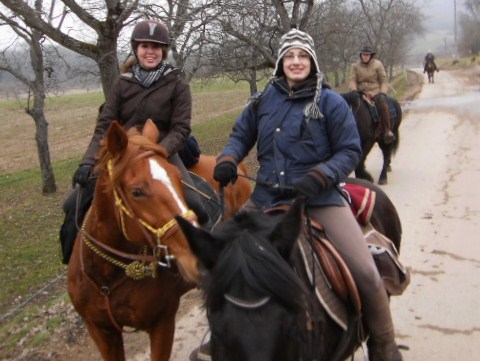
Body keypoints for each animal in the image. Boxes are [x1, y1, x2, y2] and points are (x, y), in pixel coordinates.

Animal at [67, 120, 251, 360]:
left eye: (176, 176)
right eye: (136, 191)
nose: (196, 256)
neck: (109, 274)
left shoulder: (162, 323)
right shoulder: (100, 331)